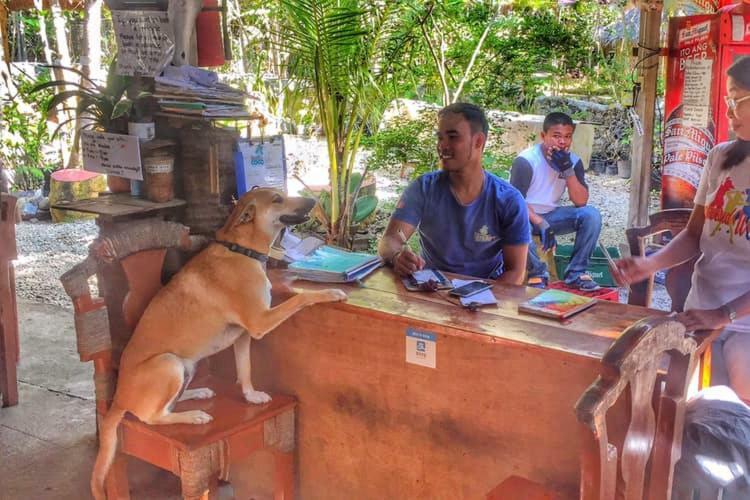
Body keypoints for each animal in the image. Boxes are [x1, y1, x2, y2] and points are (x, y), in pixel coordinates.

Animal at [90, 188, 346, 500]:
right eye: (277, 199)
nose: (314, 200)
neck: (241, 249)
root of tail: (116, 401)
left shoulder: (244, 334)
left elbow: (245, 370)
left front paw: (251, 396)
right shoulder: (260, 322)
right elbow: (301, 298)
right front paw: (329, 292)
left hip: (186, 366)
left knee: (169, 404)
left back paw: (197, 394)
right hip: (168, 363)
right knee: (152, 416)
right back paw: (194, 417)